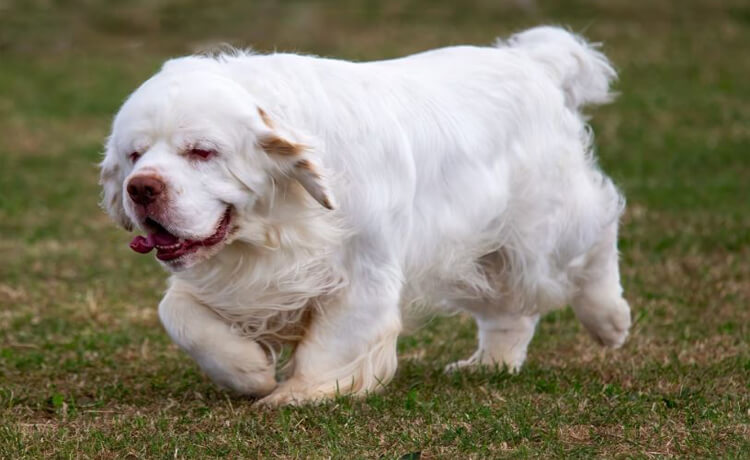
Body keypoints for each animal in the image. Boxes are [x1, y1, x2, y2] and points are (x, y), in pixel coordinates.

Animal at [98, 27, 628, 404]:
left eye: (202, 152)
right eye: (134, 155)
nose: (141, 188)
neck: (278, 223)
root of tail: (530, 62)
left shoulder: (362, 269)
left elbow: (334, 341)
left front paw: (299, 394)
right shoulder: (230, 278)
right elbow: (178, 314)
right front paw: (249, 371)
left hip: (542, 228)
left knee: (599, 231)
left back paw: (609, 319)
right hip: (483, 248)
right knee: (509, 310)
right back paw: (488, 364)